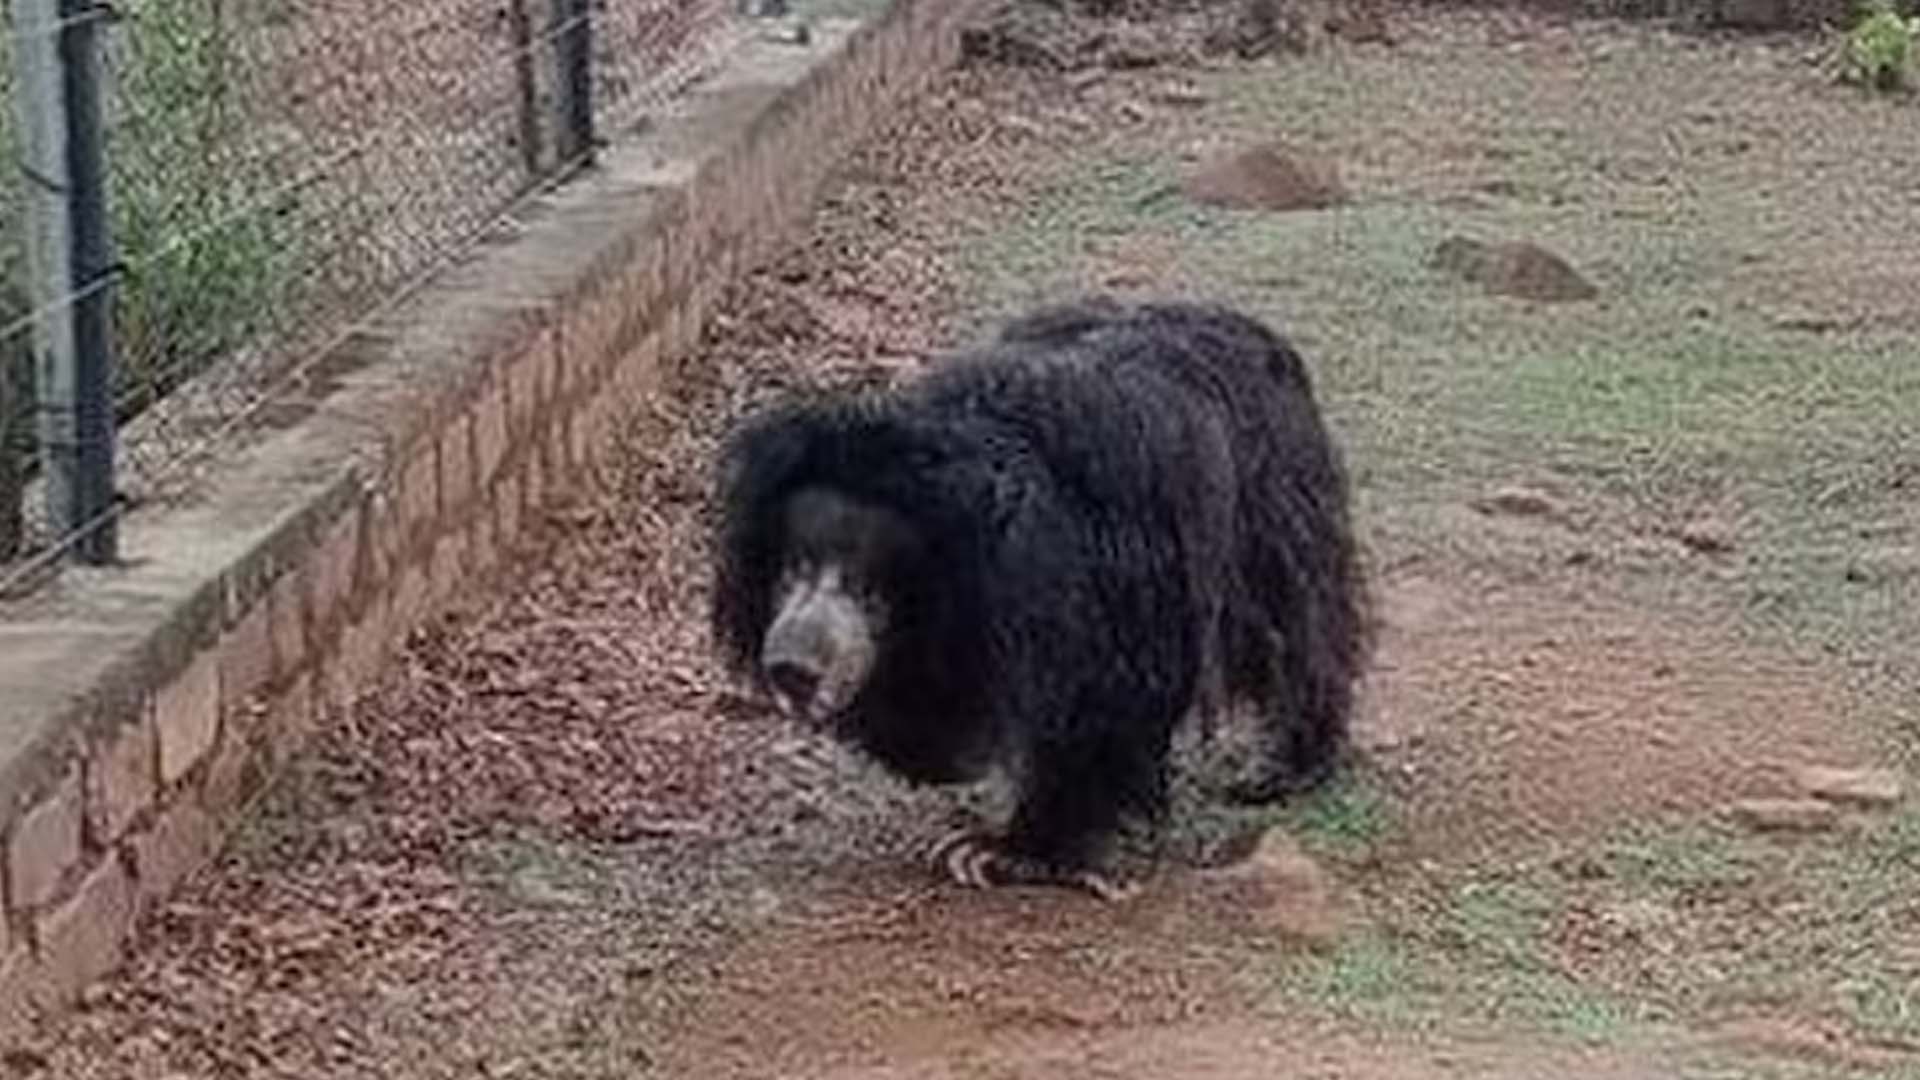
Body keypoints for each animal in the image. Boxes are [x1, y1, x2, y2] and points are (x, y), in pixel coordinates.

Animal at [714, 295, 1374, 899]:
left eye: (864, 584)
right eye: (791, 568)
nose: (791, 668)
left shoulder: (1102, 586)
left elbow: (1102, 706)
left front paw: (1004, 850)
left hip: (1265, 510)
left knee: (1295, 629)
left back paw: (1282, 765)